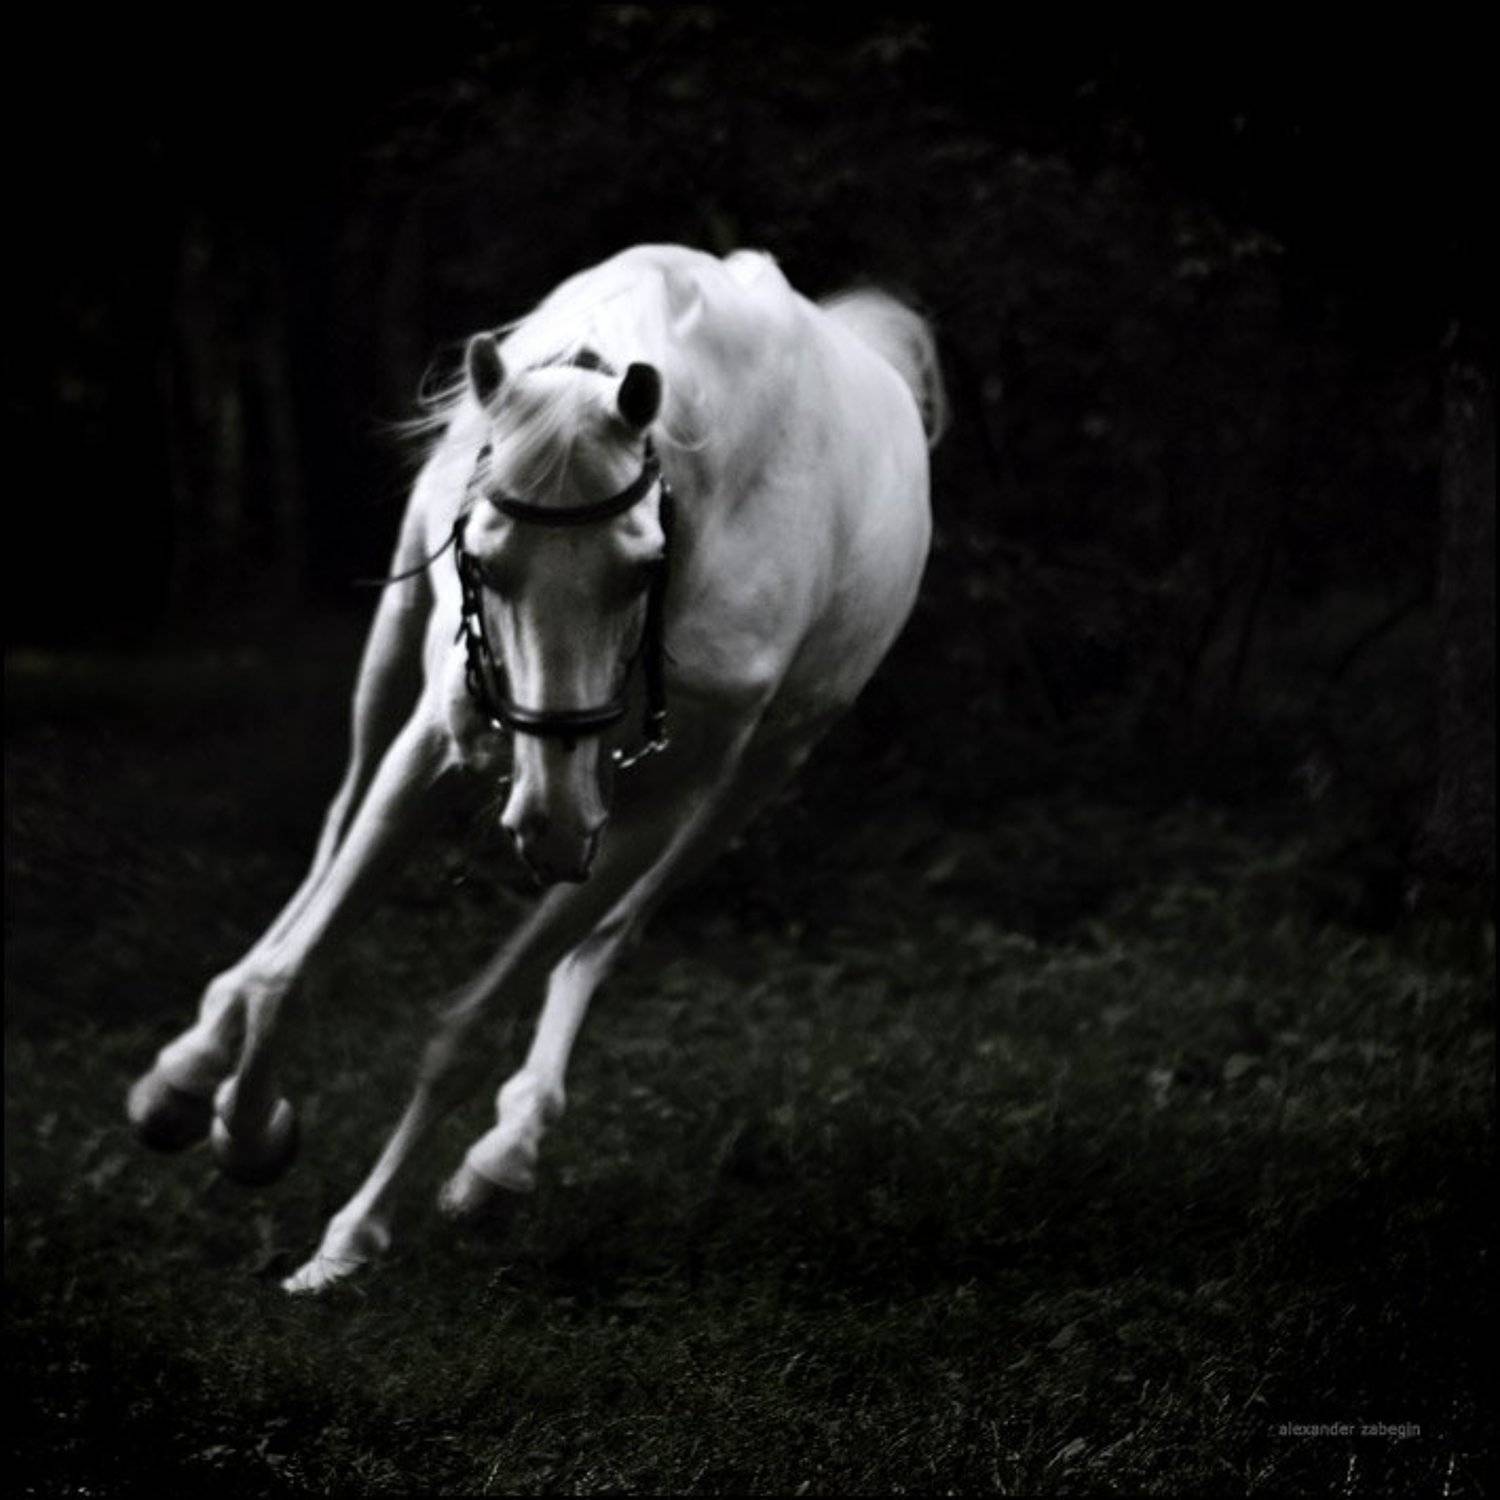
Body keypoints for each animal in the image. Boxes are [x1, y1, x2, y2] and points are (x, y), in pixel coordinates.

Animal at [125, 244, 946, 1293]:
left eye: (642, 569)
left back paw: (504, 1155)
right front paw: (247, 1128)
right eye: (482, 556)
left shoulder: (652, 804)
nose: (551, 822)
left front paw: (351, 1236)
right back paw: (188, 1071)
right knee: (327, 841)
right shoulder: (436, 743)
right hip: (392, 650)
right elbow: (294, 968)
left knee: (608, 936)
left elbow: (471, 1025)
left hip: (750, 784)